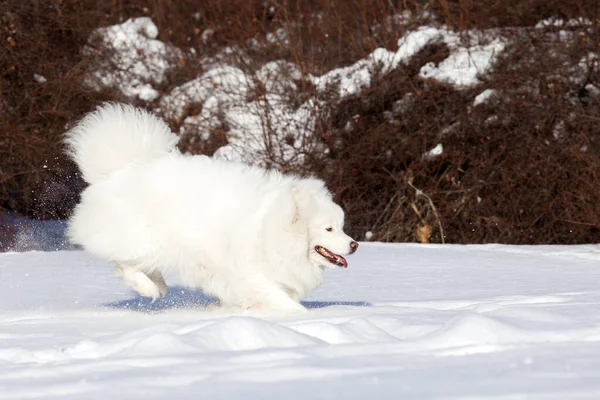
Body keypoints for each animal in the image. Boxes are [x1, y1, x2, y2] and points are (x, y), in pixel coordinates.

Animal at [65, 102, 356, 312]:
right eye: (329, 229)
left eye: (342, 227)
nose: (354, 245)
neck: (269, 230)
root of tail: (119, 169)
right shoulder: (251, 276)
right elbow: (285, 303)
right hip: (144, 241)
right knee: (123, 263)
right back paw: (149, 288)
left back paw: (158, 285)